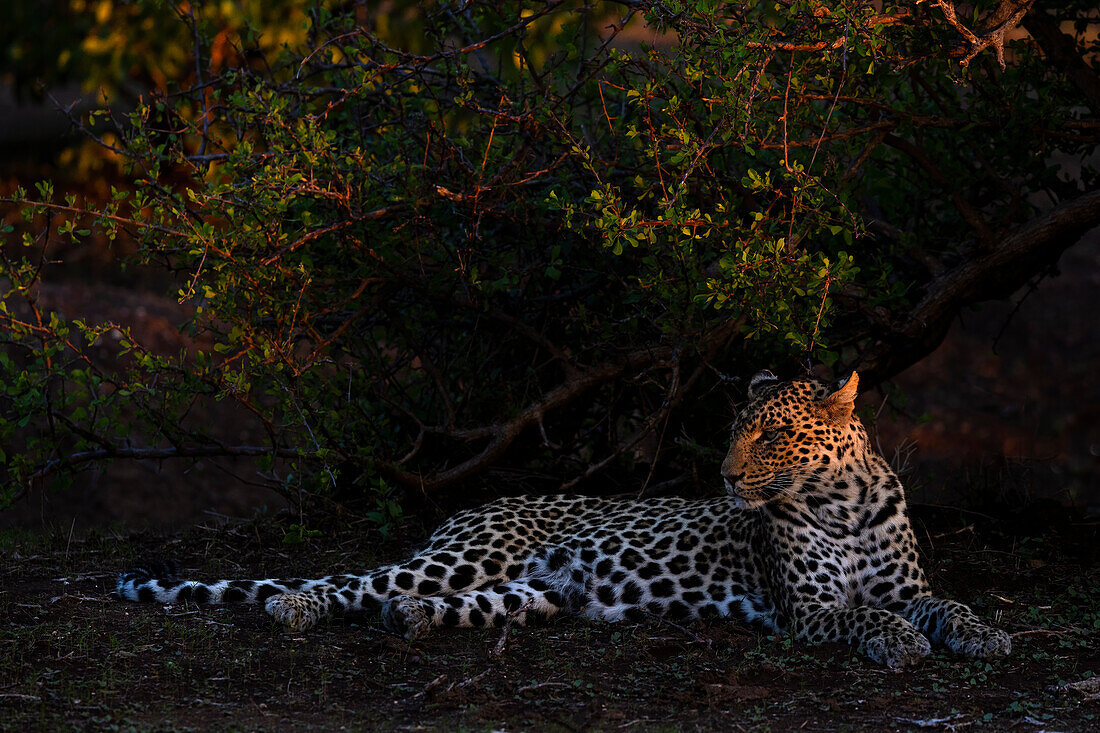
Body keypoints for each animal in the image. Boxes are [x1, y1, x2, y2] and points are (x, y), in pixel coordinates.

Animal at [116, 367, 1007, 664]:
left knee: (421, 600)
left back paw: (415, 621)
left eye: (774, 433)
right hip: (465, 556)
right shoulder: (810, 609)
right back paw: (296, 608)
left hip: (533, 591)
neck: (844, 505)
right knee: (347, 582)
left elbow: (945, 603)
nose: (723, 474)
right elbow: (865, 617)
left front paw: (985, 635)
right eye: (735, 431)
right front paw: (900, 644)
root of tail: (483, 503)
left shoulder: (907, 584)